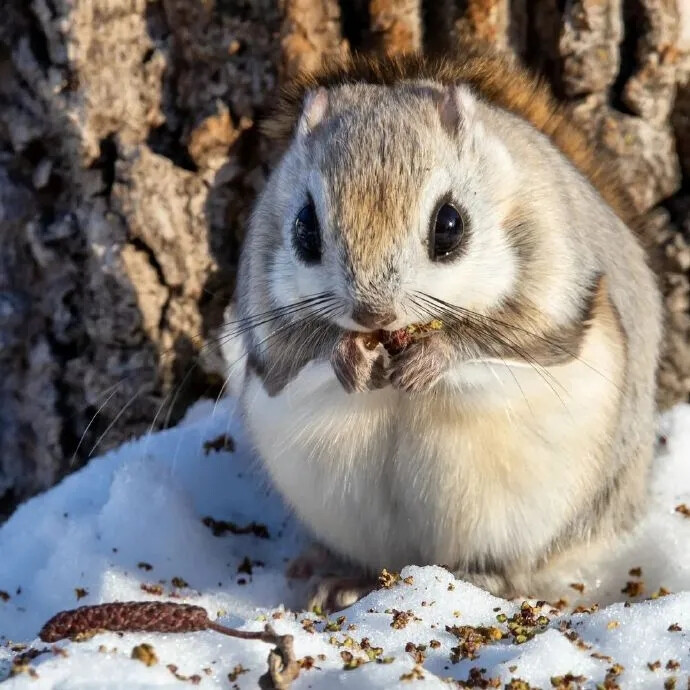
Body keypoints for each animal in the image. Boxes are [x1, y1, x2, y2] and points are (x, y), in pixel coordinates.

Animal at [228, 47, 660, 608]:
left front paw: (433, 358)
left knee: (515, 567)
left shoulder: (554, 281)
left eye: (450, 224)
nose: (372, 314)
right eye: (304, 228)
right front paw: (347, 357)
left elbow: (513, 341)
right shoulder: (265, 316)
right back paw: (345, 577)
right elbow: (288, 354)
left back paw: (480, 579)